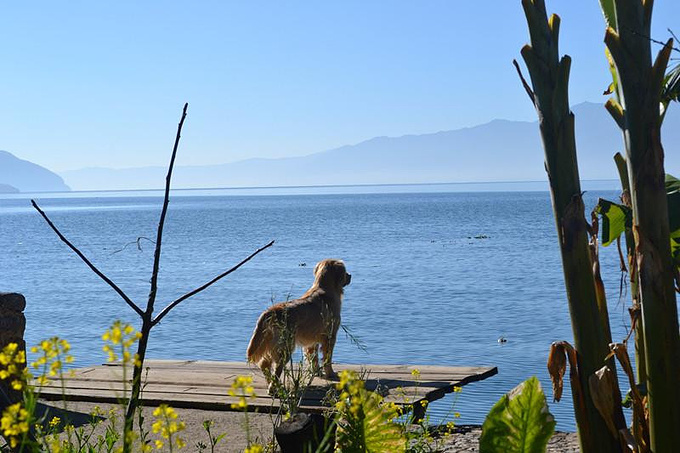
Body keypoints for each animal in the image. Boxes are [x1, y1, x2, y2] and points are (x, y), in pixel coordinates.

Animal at [246, 258, 350, 388]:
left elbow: (313, 358)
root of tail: (271, 312)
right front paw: (330, 374)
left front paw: (317, 372)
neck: (325, 288)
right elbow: (327, 358)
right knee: (276, 367)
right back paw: (274, 387)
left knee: (264, 363)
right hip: (285, 346)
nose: (350, 276)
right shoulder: (330, 336)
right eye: (345, 271)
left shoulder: (312, 341)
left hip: (270, 342)